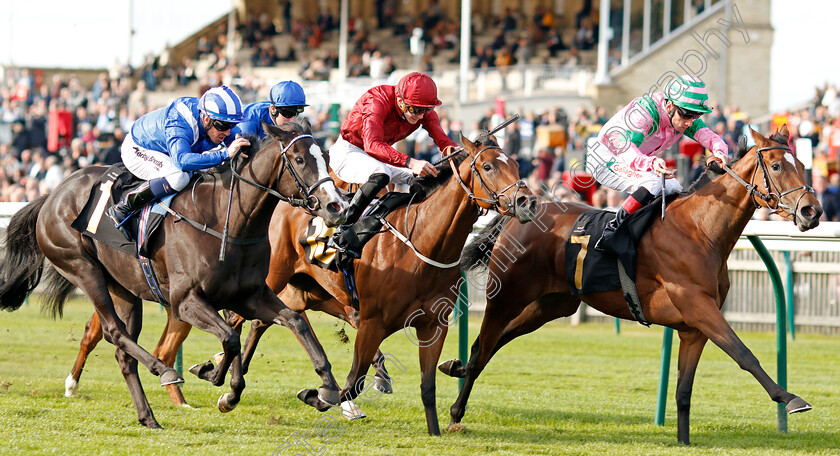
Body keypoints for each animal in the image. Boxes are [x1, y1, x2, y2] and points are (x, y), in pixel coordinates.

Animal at [0, 121, 348, 428]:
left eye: (326, 158)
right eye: (300, 159)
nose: (336, 207)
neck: (226, 221)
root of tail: (52, 195)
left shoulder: (250, 295)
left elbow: (294, 322)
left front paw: (327, 389)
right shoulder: (185, 301)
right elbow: (230, 337)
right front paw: (212, 376)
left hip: (124, 289)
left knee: (122, 349)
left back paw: (148, 417)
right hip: (83, 269)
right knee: (114, 332)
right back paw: (162, 371)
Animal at [440, 125, 820, 446]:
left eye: (803, 163)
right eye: (776, 165)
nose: (811, 211)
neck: (699, 229)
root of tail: (518, 214)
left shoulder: (693, 328)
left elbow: (684, 390)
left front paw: (683, 440)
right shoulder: (699, 307)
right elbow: (744, 354)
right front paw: (791, 399)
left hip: (551, 304)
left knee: (497, 342)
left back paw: (454, 368)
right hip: (507, 296)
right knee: (482, 345)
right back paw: (456, 410)